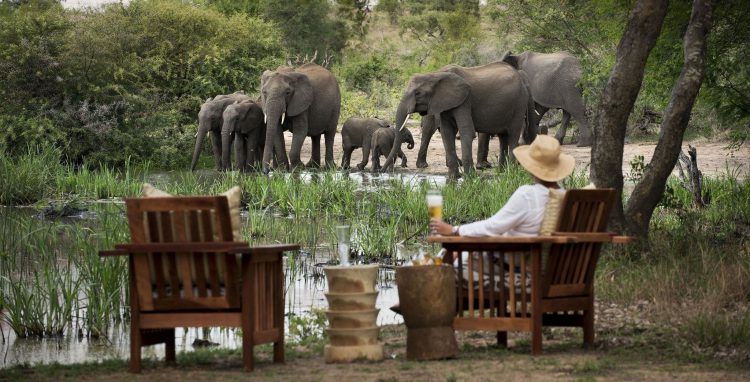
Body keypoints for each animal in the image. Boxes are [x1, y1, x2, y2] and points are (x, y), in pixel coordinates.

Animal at [384, 61, 536, 178]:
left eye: (418, 93)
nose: (380, 171)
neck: (436, 74)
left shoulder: (465, 100)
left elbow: (466, 132)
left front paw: (470, 177)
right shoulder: (444, 103)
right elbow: (447, 133)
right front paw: (454, 178)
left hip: (519, 103)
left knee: (513, 135)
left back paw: (512, 173)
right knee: (503, 136)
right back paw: (502, 172)